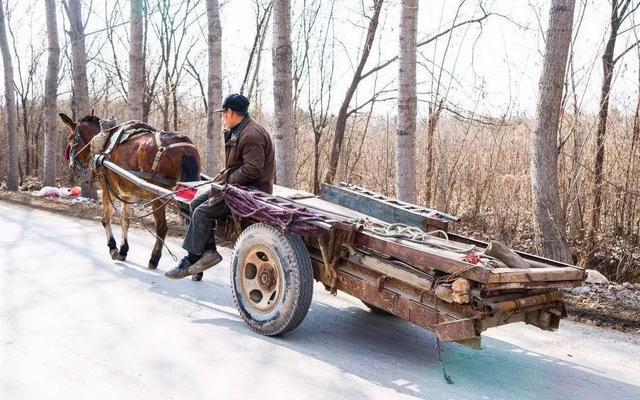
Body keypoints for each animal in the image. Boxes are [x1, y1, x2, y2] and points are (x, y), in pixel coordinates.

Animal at [59, 113, 201, 272]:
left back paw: (154, 258)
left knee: (162, 228)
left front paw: (113, 248)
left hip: (159, 195)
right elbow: (125, 220)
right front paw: (123, 250)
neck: (103, 141)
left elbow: (105, 219)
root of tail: (185, 147)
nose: (71, 164)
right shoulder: (126, 194)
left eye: (70, 138)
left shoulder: (107, 188)